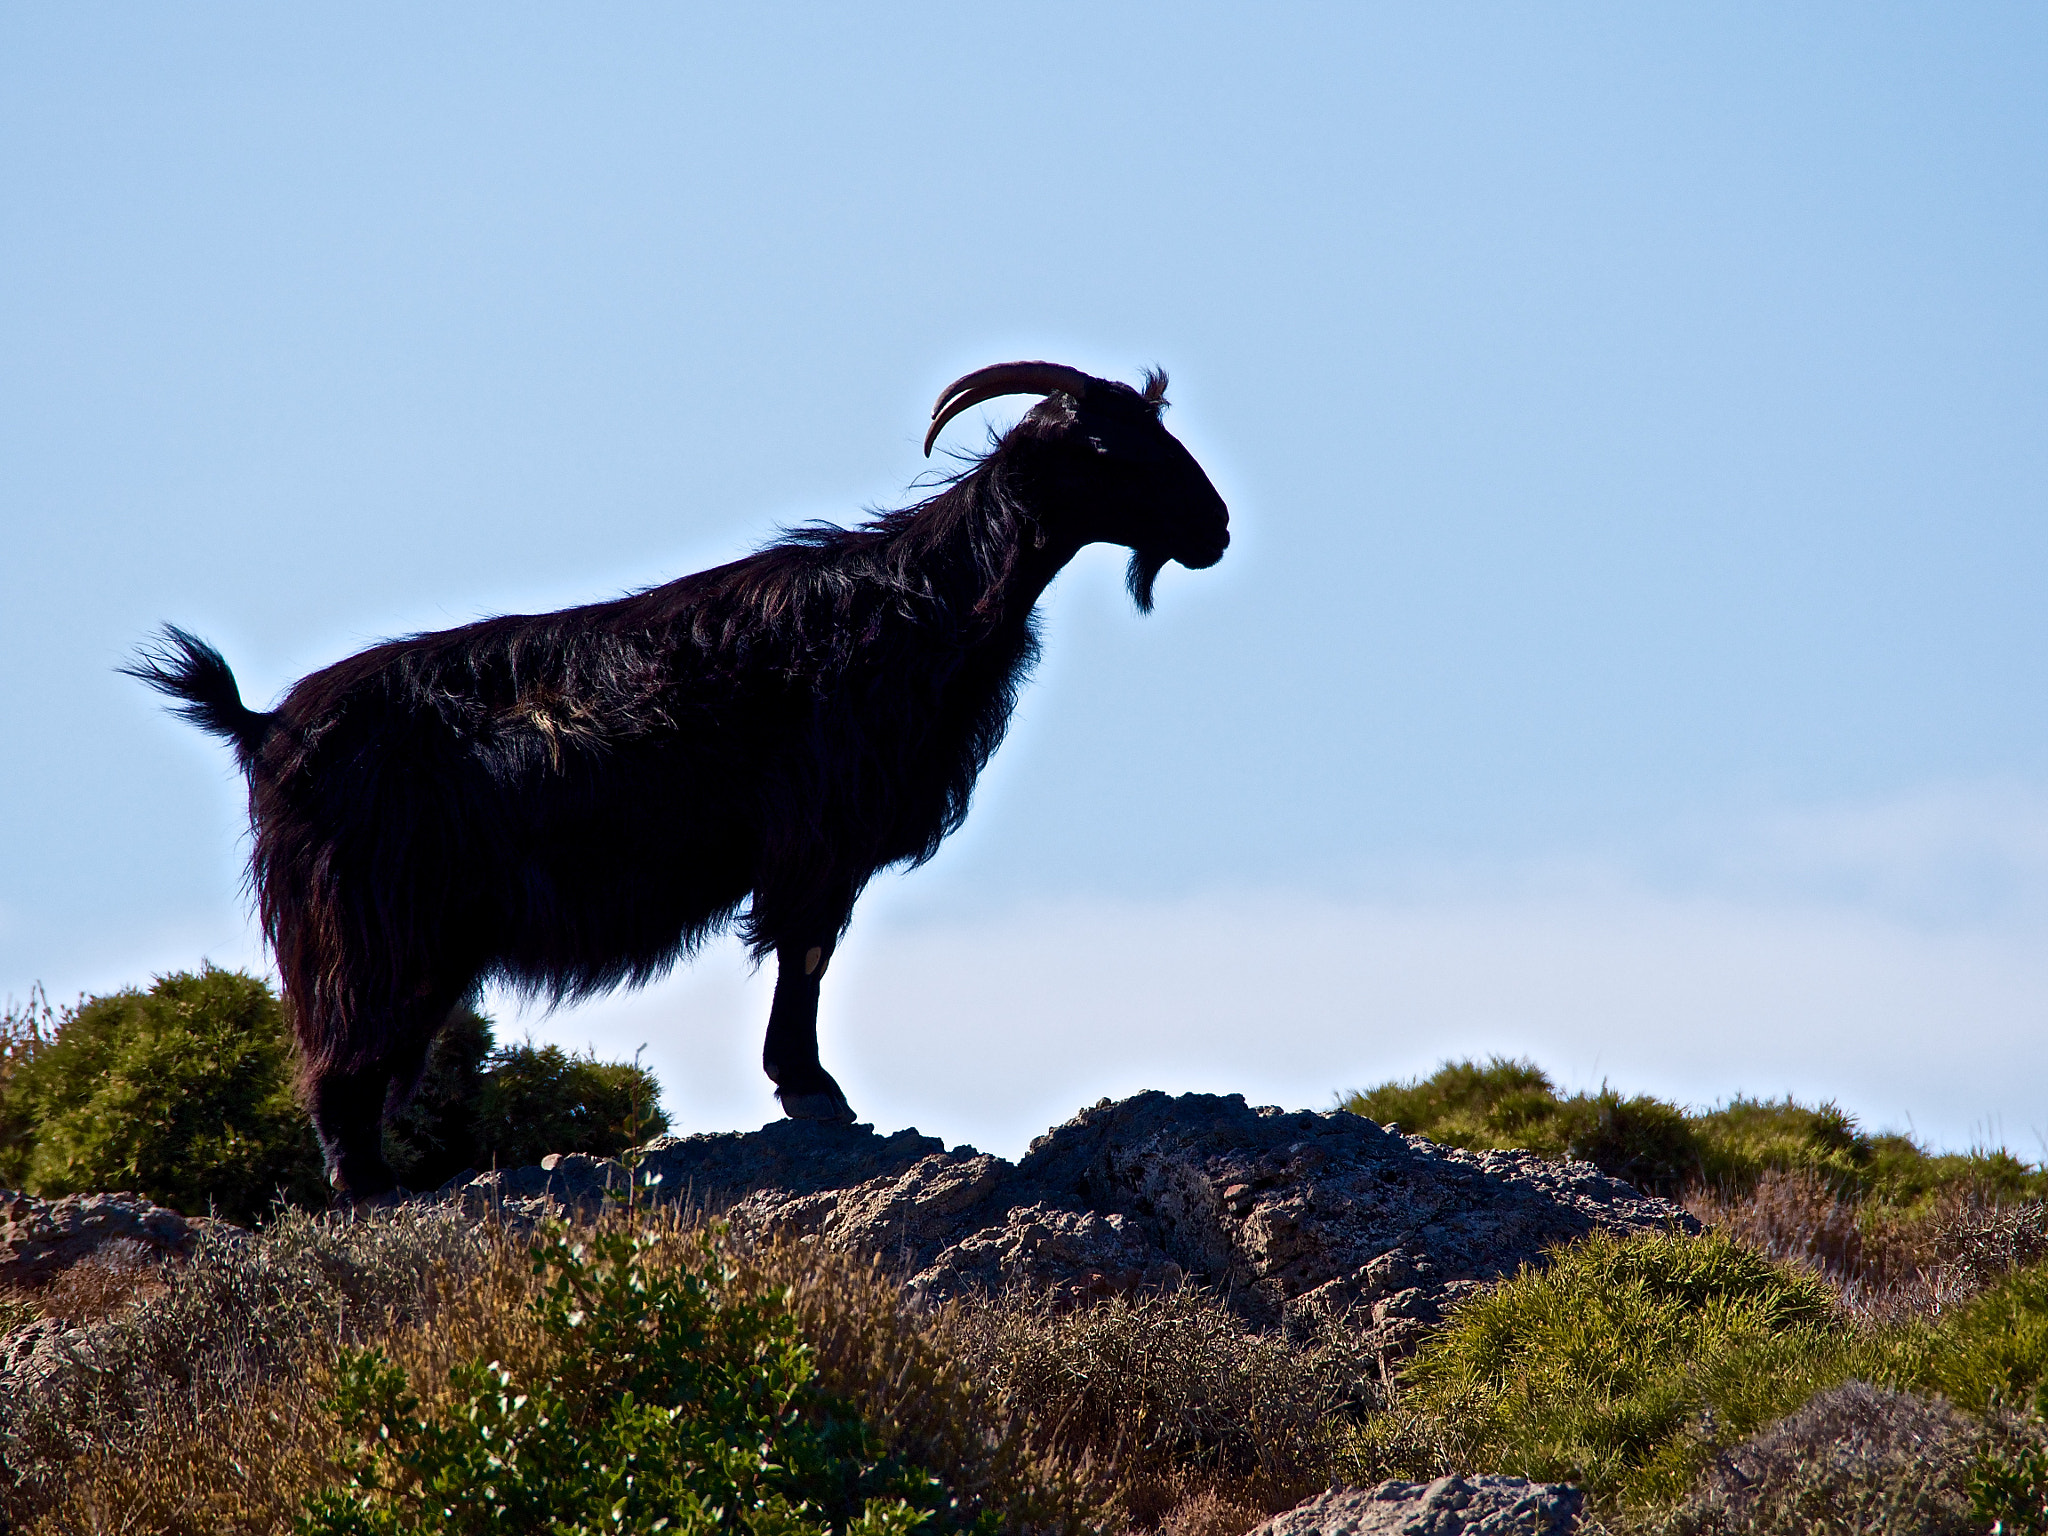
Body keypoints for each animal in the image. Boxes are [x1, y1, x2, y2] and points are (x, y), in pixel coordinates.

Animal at [127, 361, 1230, 1196]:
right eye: (1103, 449)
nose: (1214, 528)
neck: (923, 599)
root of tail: (262, 724)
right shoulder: (817, 834)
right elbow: (806, 954)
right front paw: (812, 1091)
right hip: (364, 919)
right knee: (339, 1059)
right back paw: (372, 1190)